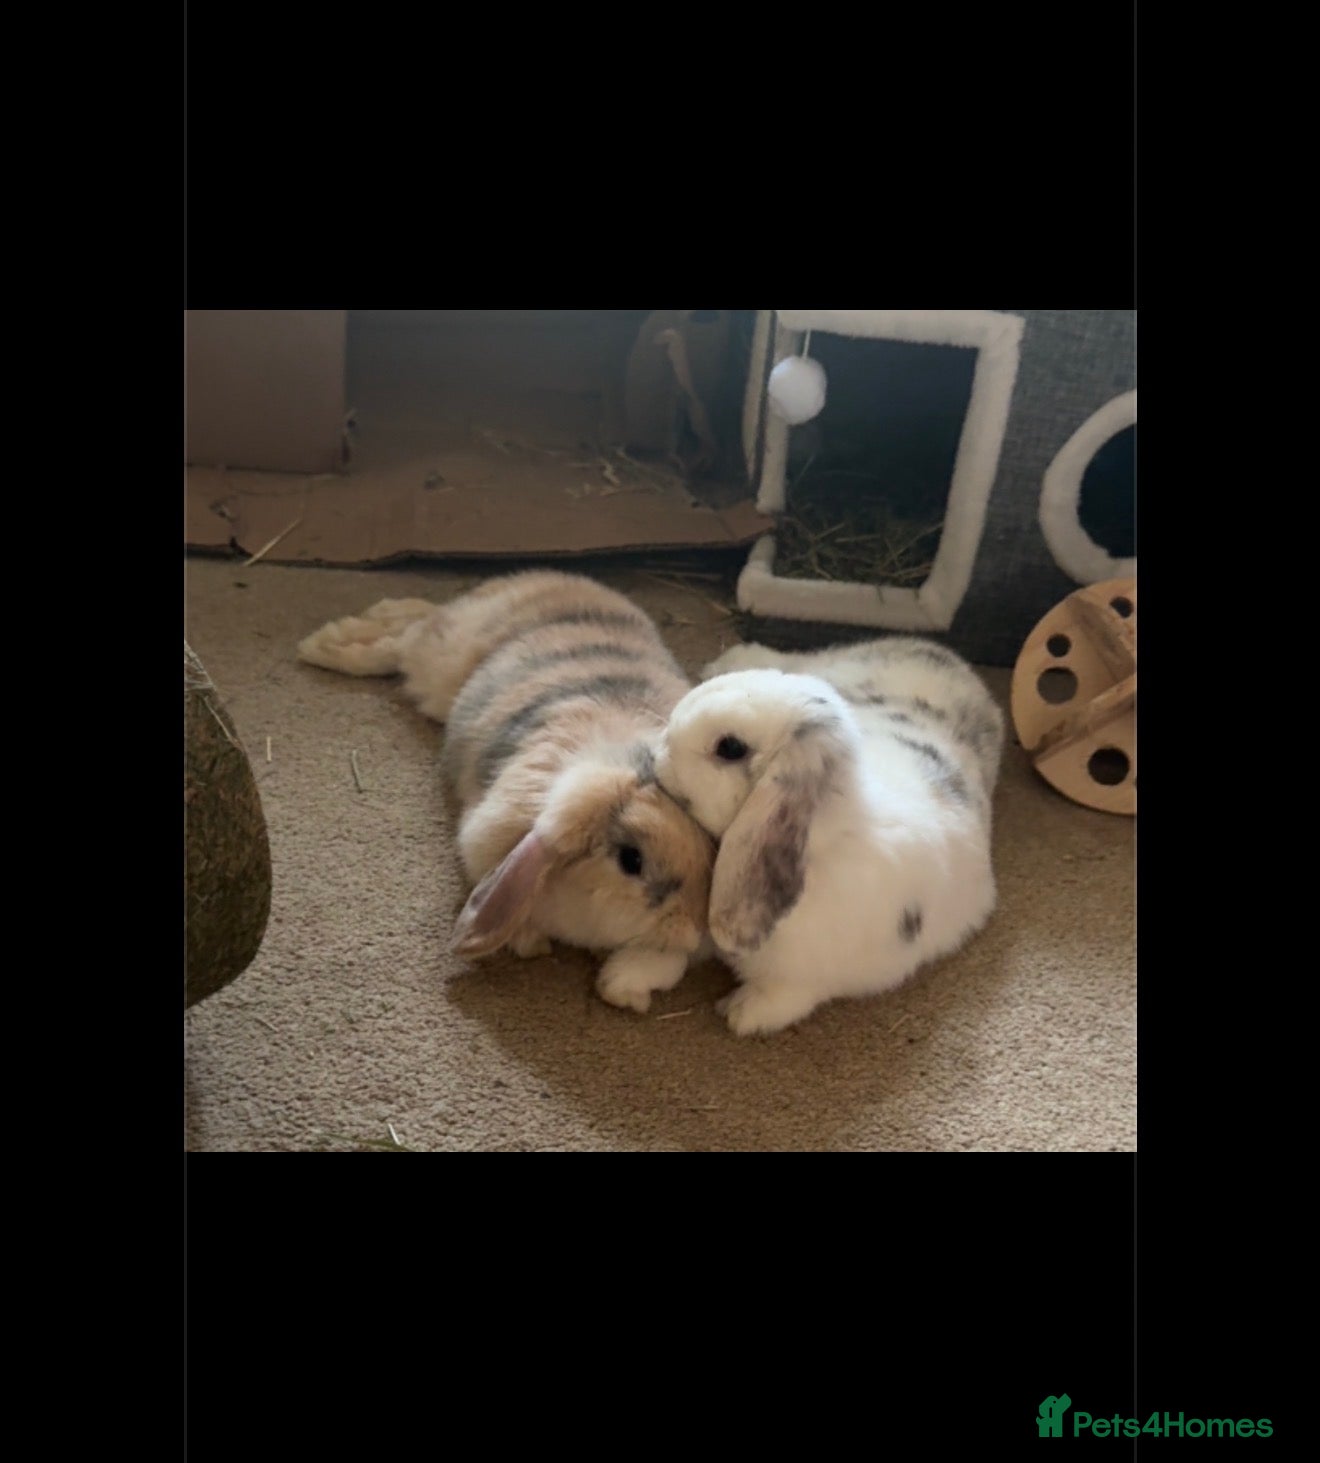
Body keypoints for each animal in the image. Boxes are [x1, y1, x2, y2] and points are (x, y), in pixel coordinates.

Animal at [297, 572, 715, 1014]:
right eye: (631, 860)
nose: (696, 928)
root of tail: (530, 579)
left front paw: (624, 985)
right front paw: (532, 943)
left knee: (414, 615)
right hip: (436, 665)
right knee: (407, 637)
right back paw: (321, 646)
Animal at [653, 635, 1004, 1036]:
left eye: (730, 747)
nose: (657, 750)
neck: (823, 843)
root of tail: (944, 655)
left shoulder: (806, 979)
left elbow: (782, 996)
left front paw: (740, 1014)